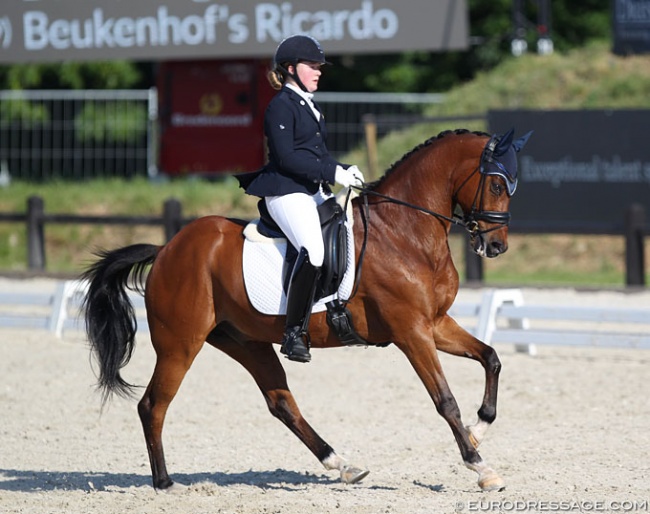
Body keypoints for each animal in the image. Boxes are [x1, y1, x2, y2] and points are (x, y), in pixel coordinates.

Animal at [81, 127, 528, 492]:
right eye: (496, 184)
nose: (496, 246)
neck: (404, 231)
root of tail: (166, 249)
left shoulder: (434, 323)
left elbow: (492, 357)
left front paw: (479, 428)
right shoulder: (411, 331)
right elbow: (445, 400)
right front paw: (480, 466)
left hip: (245, 341)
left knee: (281, 402)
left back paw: (343, 464)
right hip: (180, 344)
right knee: (153, 404)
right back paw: (164, 483)